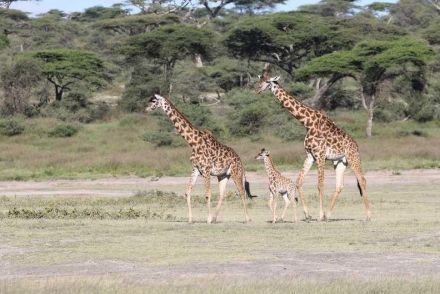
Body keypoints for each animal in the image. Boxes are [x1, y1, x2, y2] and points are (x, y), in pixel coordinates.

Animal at [144, 94, 254, 223]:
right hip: (223, 175)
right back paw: (215, 218)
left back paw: (247, 219)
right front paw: (190, 219)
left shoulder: (206, 169)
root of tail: (240, 159)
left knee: (242, 192)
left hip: (236, 173)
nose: (145, 108)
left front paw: (208, 219)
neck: (193, 143)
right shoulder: (196, 168)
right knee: (222, 194)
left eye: (154, 101)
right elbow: (187, 192)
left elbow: (207, 194)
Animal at [254, 65, 372, 220]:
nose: (256, 89)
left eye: (268, 82)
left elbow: (320, 184)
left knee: (362, 180)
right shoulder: (310, 155)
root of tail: (356, 145)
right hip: (340, 161)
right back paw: (329, 214)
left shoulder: (320, 154)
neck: (307, 123)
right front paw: (308, 213)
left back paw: (368, 215)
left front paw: (319, 215)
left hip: (353, 158)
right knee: (339, 185)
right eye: (259, 80)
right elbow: (299, 182)